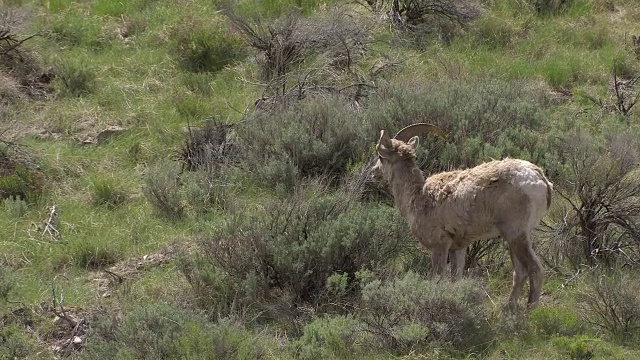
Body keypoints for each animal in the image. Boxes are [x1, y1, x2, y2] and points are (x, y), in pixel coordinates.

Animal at [372, 123, 552, 306]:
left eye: (380, 157)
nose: (373, 172)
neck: (418, 195)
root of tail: (540, 179)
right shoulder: (457, 248)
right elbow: (455, 279)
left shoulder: (439, 247)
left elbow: (439, 279)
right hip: (515, 238)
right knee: (520, 273)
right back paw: (508, 309)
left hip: (516, 235)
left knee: (535, 270)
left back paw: (529, 310)